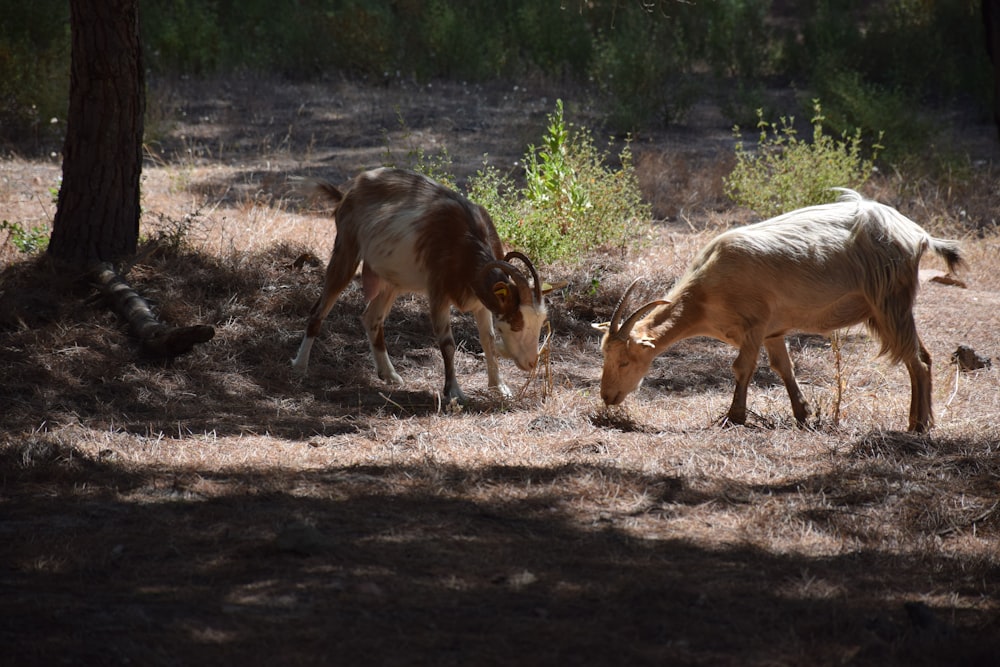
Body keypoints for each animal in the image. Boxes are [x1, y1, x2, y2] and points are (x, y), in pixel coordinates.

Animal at [292, 170, 548, 404]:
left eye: (538, 324)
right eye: (516, 325)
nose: (531, 362)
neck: (465, 243)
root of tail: (351, 191)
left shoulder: (481, 299)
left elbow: (488, 339)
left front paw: (500, 387)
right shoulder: (438, 293)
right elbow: (448, 344)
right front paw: (454, 392)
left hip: (392, 280)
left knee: (371, 318)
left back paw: (390, 375)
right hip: (346, 251)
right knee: (318, 311)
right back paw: (300, 366)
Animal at [596, 190, 964, 436]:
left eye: (625, 361)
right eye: (605, 356)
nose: (608, 396)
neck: (704, 293)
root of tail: (918, 235)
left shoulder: (754, 324)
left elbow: (742, 368)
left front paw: (734, 416)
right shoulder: (772, 331)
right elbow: (783, 367)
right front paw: (803, 413)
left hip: (890, 302)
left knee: (916, 360)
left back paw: (917, 425)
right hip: (887, 309)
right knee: (922, 357)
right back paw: (924, 421)